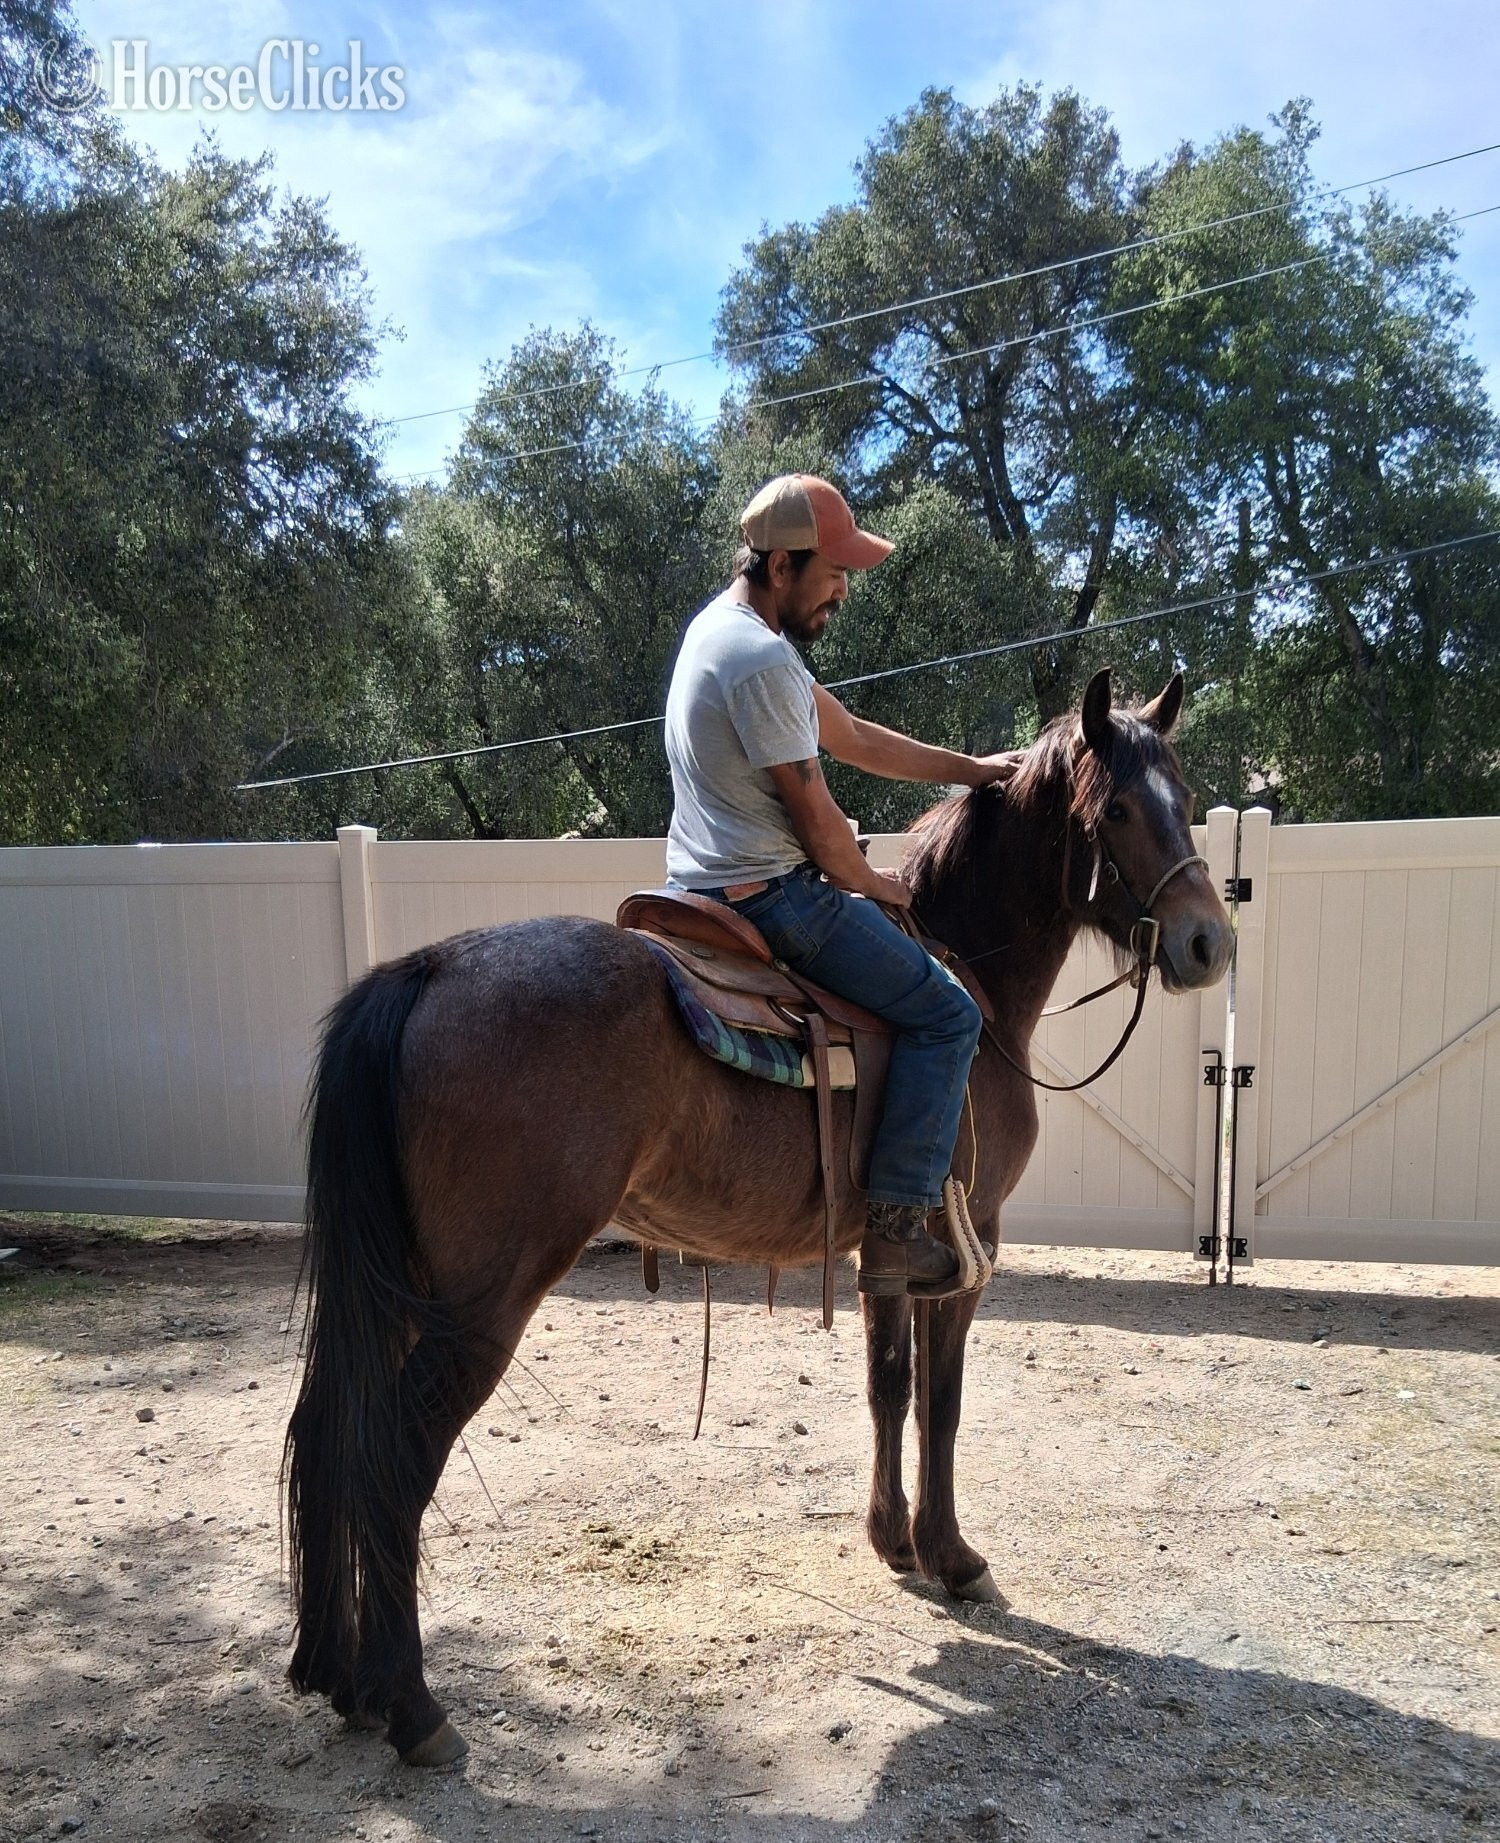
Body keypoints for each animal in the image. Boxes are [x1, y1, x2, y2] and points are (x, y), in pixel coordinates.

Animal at [283, 666, 1235, 1766]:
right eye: (1116, 809)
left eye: (1184, 791)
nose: (1209, 942)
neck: (972, 982)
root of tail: (423, 970)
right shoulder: (970, 1247)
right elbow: (944, 1403)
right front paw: (954, 1557)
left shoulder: (885, 1254)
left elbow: (888, 1390)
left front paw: (894, 1541)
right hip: (479, 1303)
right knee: (393, 1458)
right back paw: (413, 1707)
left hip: (400, 1289)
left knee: (331, 1431)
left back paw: (338, 1676)